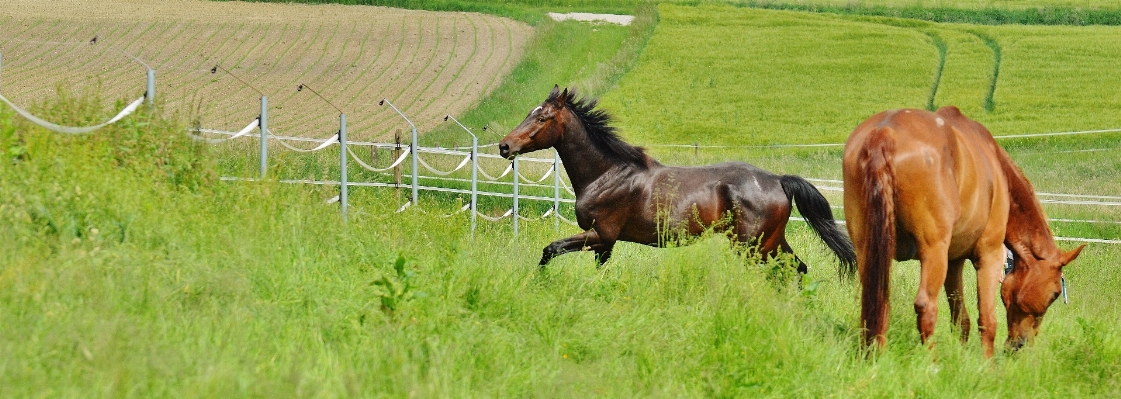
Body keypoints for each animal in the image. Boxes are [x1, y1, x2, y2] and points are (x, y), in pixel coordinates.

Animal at [495, 85, 851, 275]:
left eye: (542, 118)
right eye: (529, 113)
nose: (504, 146)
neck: (606, 174)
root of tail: (778, 181)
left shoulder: (601, 234)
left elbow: (550, 250)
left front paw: (539, 282)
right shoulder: (605, 243)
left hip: (753, 247)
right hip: (772, 241)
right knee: (798, 269)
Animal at [842, 105, 1080, 356]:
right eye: (1055, 294)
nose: (1019, 345)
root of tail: (885, 131)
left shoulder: (953, 261)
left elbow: (960, 318)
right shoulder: (988, 256)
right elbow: (986, 320)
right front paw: (987, 363)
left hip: (868, 250)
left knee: (877, 302)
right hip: (933, 254)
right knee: (925, 307)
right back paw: (931, 361)